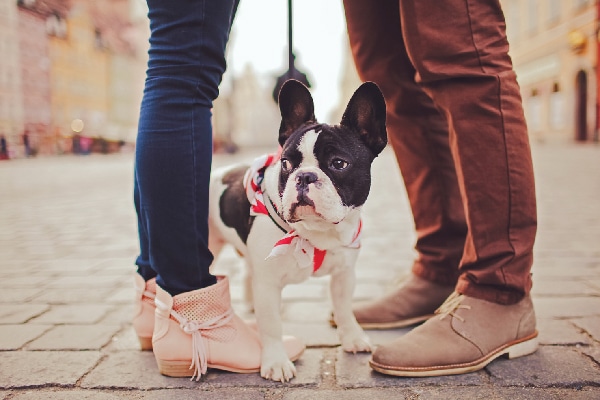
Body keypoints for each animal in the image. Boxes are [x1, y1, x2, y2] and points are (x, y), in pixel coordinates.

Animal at [209, 78, 386, 382]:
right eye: (286, 163)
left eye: (339, 163)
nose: (304, 176)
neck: (317, 232)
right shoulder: (268, 284)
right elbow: (271, 325)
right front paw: (276, 362)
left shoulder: (344, 273)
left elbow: (344, 308)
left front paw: (352, 338)